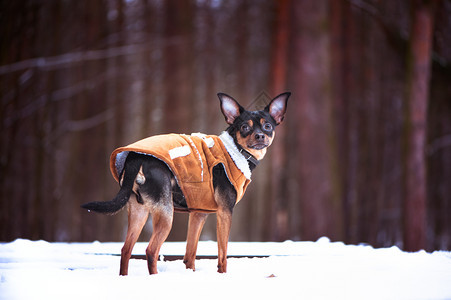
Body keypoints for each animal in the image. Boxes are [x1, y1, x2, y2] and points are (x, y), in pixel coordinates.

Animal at [83, 91, 292, 274]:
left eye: (267, 126)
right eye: (244, 128)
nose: (260, 136)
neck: (237, 151)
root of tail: (135, 158)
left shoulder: (198, 214)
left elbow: (190, 254)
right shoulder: (225, 212)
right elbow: (223, 254)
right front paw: (222, 275)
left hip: (138, 211)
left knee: (126, 250)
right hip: (165, 213)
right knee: (151, 250)